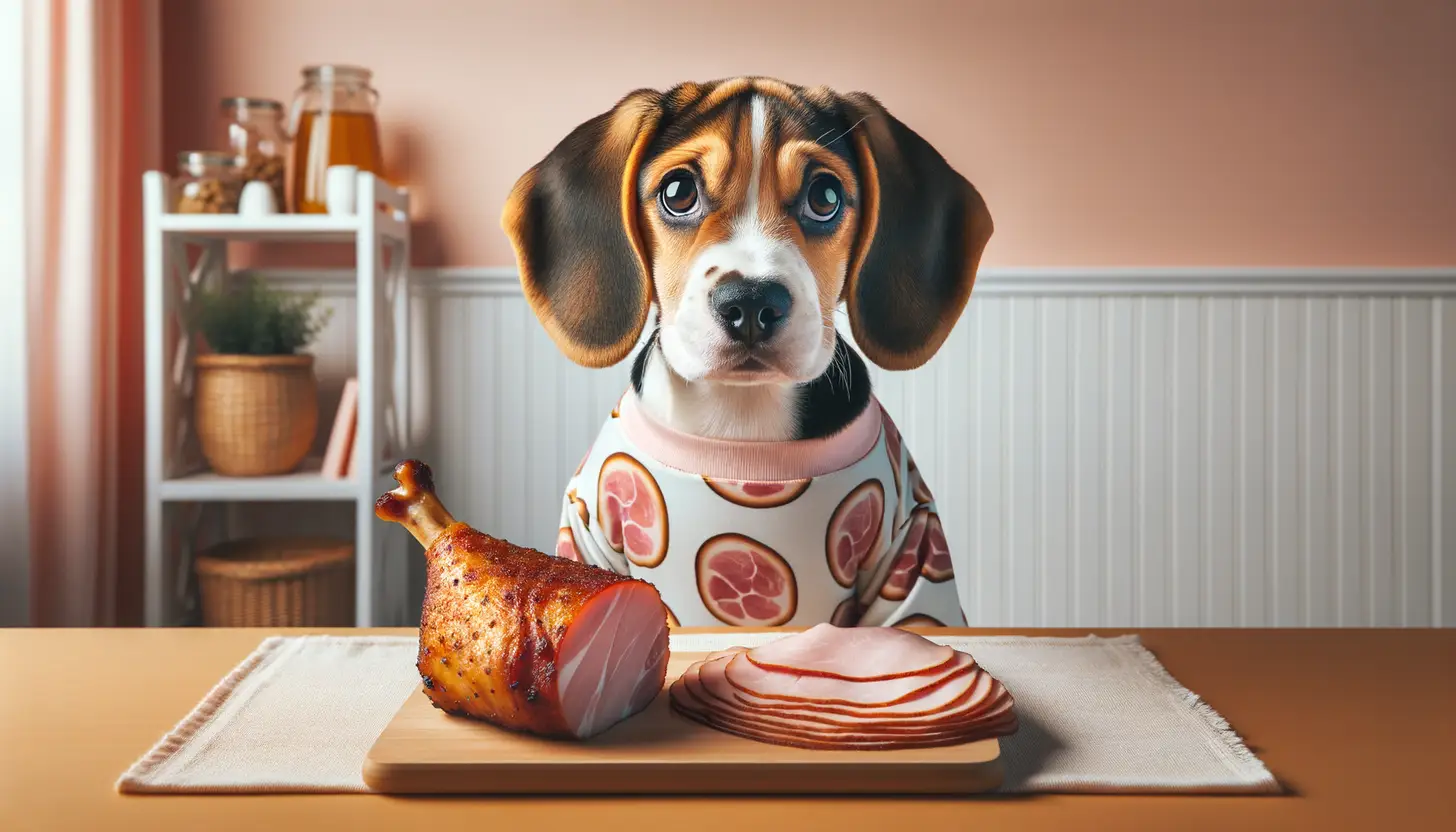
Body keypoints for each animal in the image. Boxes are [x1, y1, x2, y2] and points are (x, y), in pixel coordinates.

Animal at [500, 79, 990, 632]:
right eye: (678, 192)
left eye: (825, 196)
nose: (752, 303)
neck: (741, 426)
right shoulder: (586, 536)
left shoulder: (912, 558)